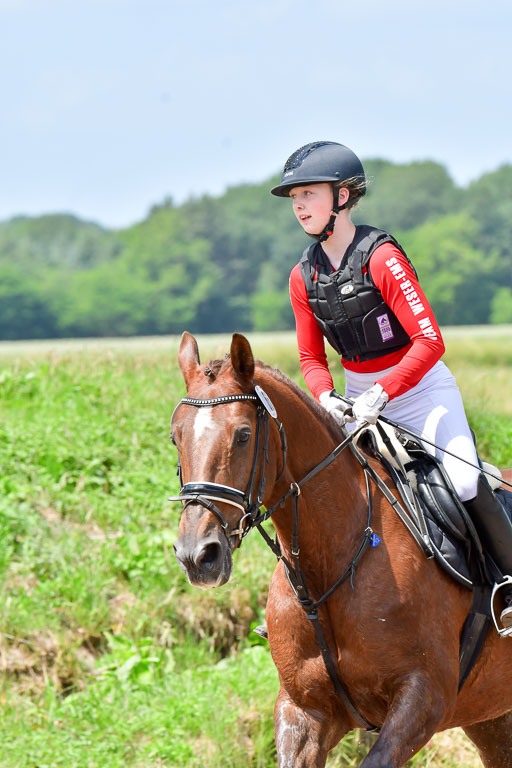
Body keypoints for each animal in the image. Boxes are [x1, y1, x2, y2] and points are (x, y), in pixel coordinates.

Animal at [171, 331, 512, 768]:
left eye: (243, 434)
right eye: (175, 436)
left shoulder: (425, 696)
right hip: (491, 717)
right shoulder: (303, 711)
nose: (197, 556)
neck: (332, 563)